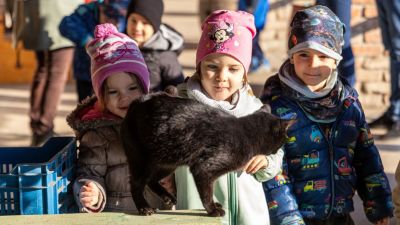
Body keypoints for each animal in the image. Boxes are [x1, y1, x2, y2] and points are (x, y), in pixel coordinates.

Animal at [120, 92, 292, 216]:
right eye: (283, 139)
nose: (280, 149)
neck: (245, 132)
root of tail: (137, 102)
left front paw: (215, 206)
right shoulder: (203, 169)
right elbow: (206, 194)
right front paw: (212, 210)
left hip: (167, 162)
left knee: (151, 180)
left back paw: (167, 197)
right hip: (142, 161)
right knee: (136, 184)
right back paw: (144, 208)